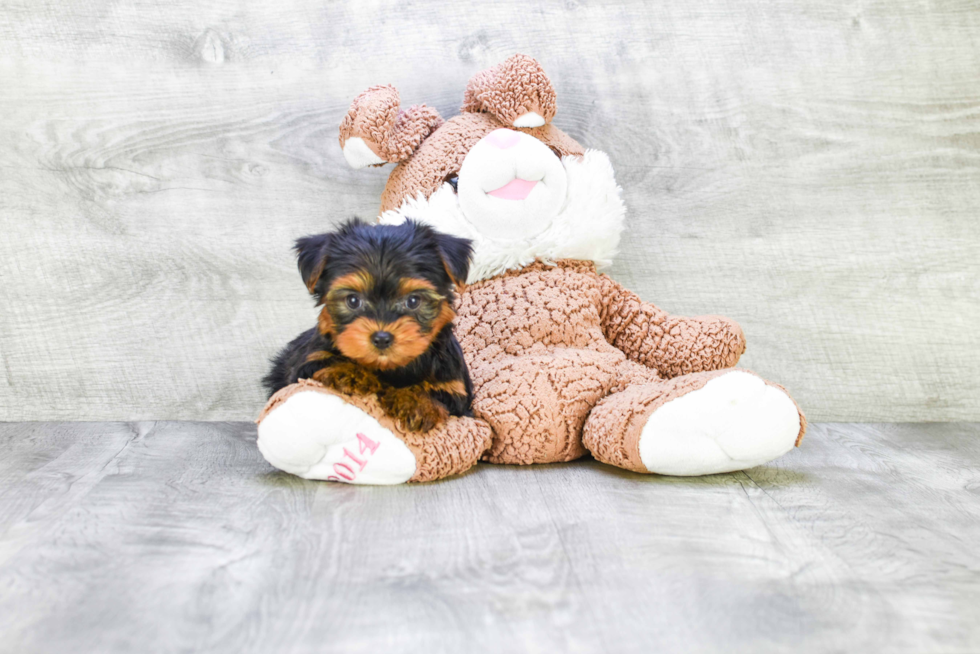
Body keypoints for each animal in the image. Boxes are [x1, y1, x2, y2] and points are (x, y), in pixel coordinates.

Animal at [260, 220, 474, 436]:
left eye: (413, 301)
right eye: (353, 300)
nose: (382, 338)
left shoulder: (454, 386)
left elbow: (436, 393)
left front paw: (416, 403)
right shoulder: (308, 362)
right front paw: (348, 372)